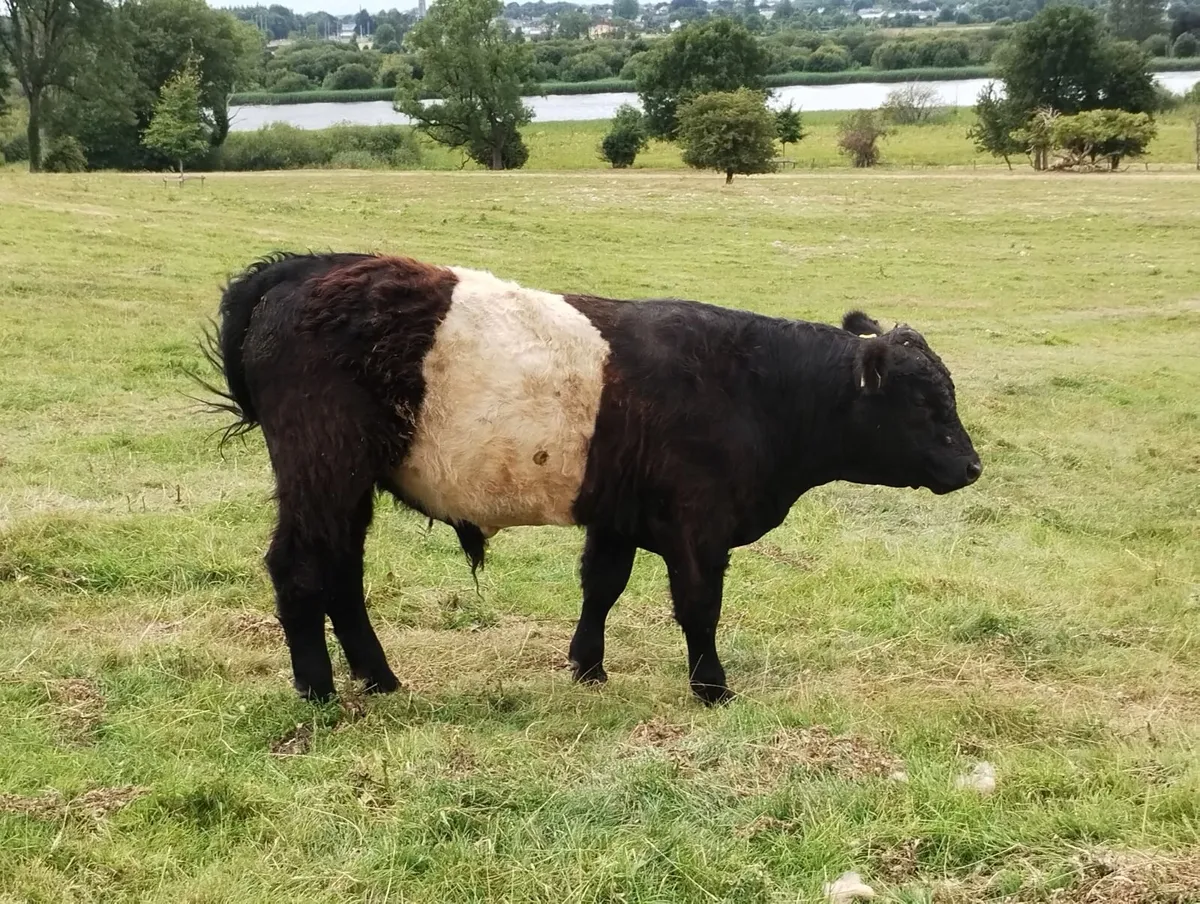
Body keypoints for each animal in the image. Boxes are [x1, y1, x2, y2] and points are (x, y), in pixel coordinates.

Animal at [199, 251, 982, 706]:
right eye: (926, 403)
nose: (972, 465)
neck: (756, 385)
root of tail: (299, 268)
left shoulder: (618, 515)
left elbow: (601, 587)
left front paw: (586, 668)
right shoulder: (699, 526)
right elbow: (699, 608)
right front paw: (712, 689)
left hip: (346, 484)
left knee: (341, 573)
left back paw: (380, 680)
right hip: (323, 469)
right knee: (302, 570)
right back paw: (319, 694)